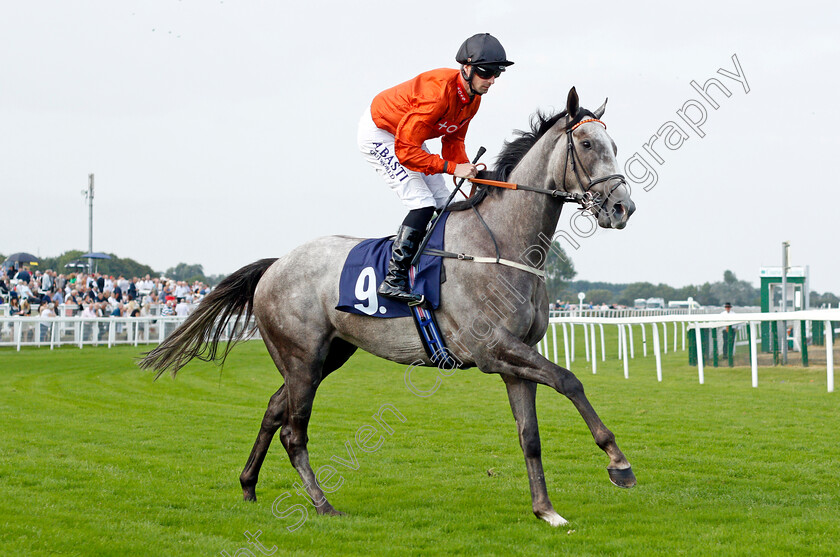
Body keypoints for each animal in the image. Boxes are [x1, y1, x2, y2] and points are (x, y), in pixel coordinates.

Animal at [141, 87, 636, 524]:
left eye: (614, 145)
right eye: (588, 144)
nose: (622, 208)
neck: (501, 245)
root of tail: (275, 264)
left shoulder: (517, 357)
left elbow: (530, 436)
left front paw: (546, 510)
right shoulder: (492, 349)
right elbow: (570, 381)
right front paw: (618, 463)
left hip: (327, 355)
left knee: (273, 408)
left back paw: (248, 485)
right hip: (303, 357)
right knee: (293, 431)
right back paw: (322, 505)